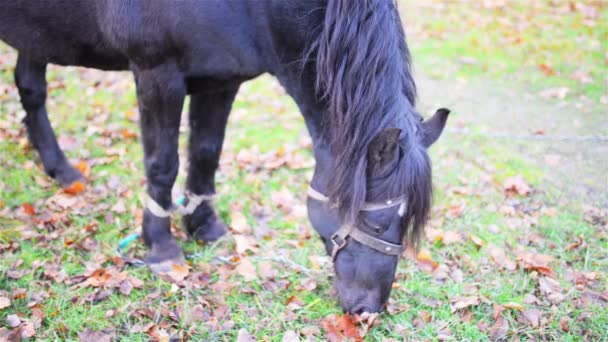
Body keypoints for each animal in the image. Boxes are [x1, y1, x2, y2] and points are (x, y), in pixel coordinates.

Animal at [0, 0, 446, 316]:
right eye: (377, 221)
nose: (368, 310)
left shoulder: (220, 79)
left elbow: (206, 153)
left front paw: (204, 226)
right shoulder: (157, 74)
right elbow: (163, 163)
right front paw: (161, 245)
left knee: (31, 87)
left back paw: (62, 171)